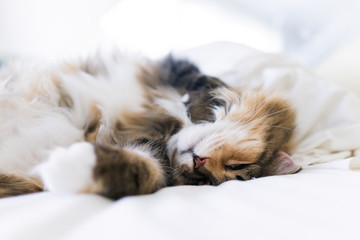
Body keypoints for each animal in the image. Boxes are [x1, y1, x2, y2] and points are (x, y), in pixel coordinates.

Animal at [0, 50, 300, 199]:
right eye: (236, 167)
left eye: (203, 182)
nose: (199, 164)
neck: (168, 128)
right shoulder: (178, 69)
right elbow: (198, 83)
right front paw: (197, 104)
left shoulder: (149, 153)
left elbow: (143, 172)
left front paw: (72, 165)